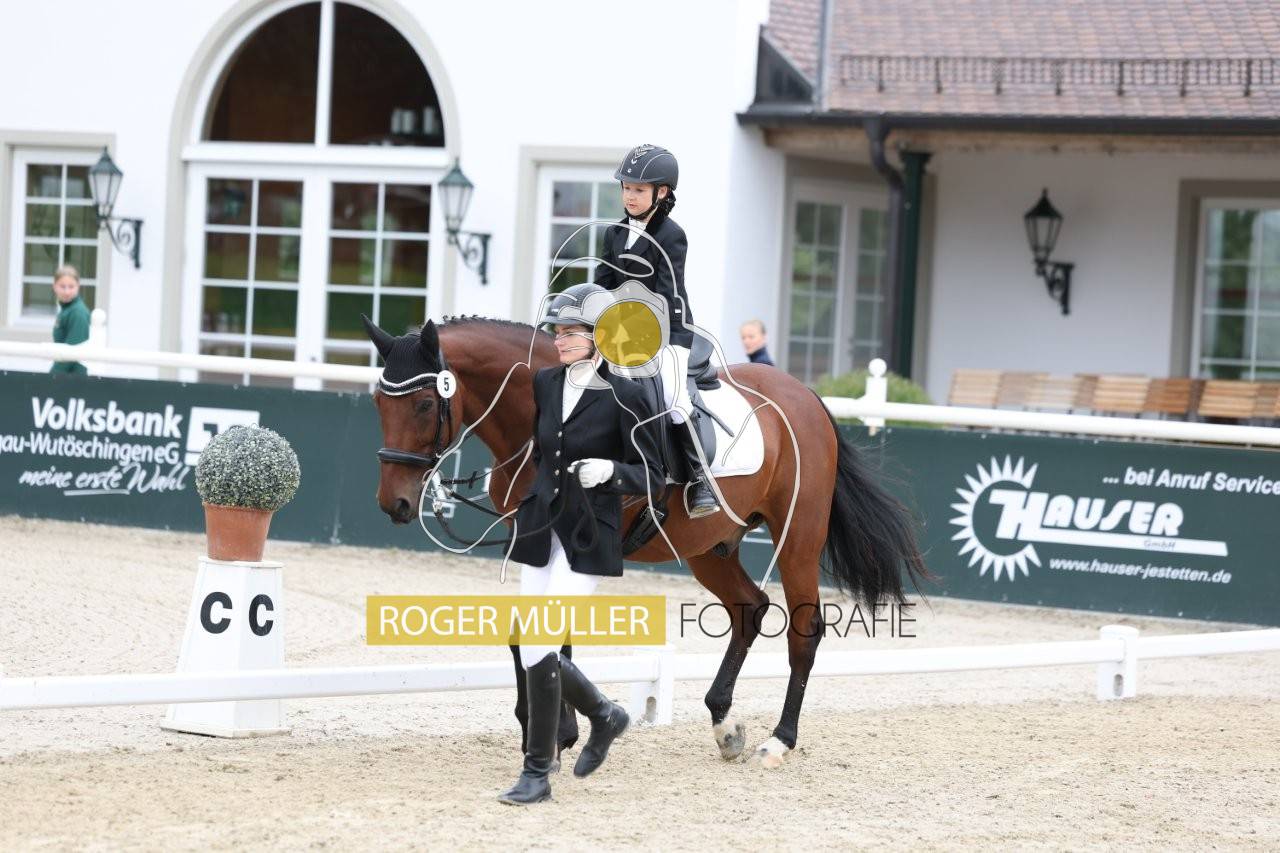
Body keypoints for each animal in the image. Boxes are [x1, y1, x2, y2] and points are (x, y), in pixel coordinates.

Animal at [366, 315, 929, 768]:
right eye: (377, 402)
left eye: (423, 403)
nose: (394, 504)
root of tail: (805, 395)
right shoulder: (531, 540)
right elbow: (530, 632)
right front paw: (546, 729)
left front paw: (559, 733)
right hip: (707, 549)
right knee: (749, 608)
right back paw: (724, 725)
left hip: (798, 538)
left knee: (804, 629)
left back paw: (779, 741)